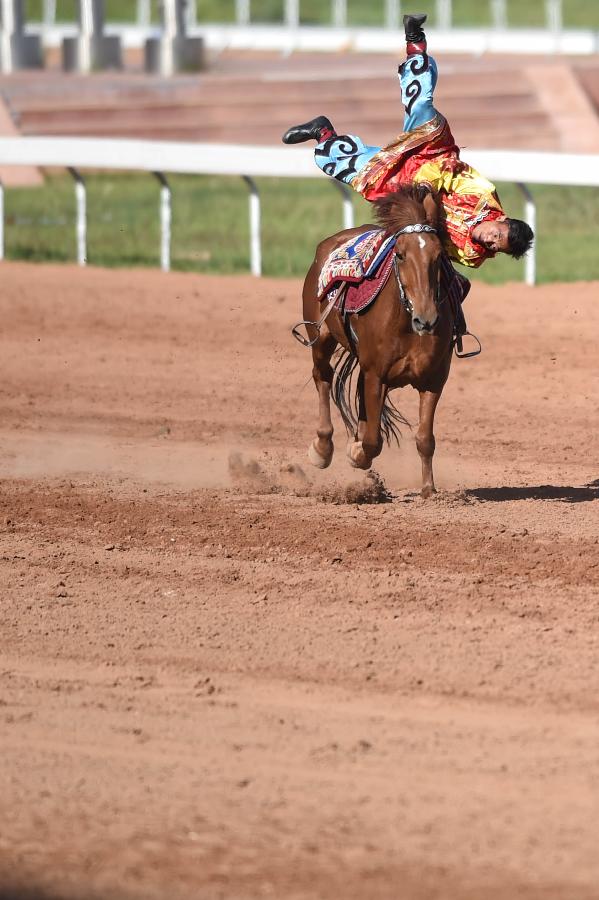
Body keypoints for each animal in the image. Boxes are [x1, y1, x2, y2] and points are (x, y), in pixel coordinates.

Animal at [302, 185, 458, 500]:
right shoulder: (377, 374)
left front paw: (428, 489)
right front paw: (357, 454)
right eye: (399, 254)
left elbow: (425, 438)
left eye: (438, 256)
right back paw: (322, 449)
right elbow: (373, 441)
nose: (427, 319)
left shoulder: (434, 379)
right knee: (322, 376)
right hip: (321, 338)